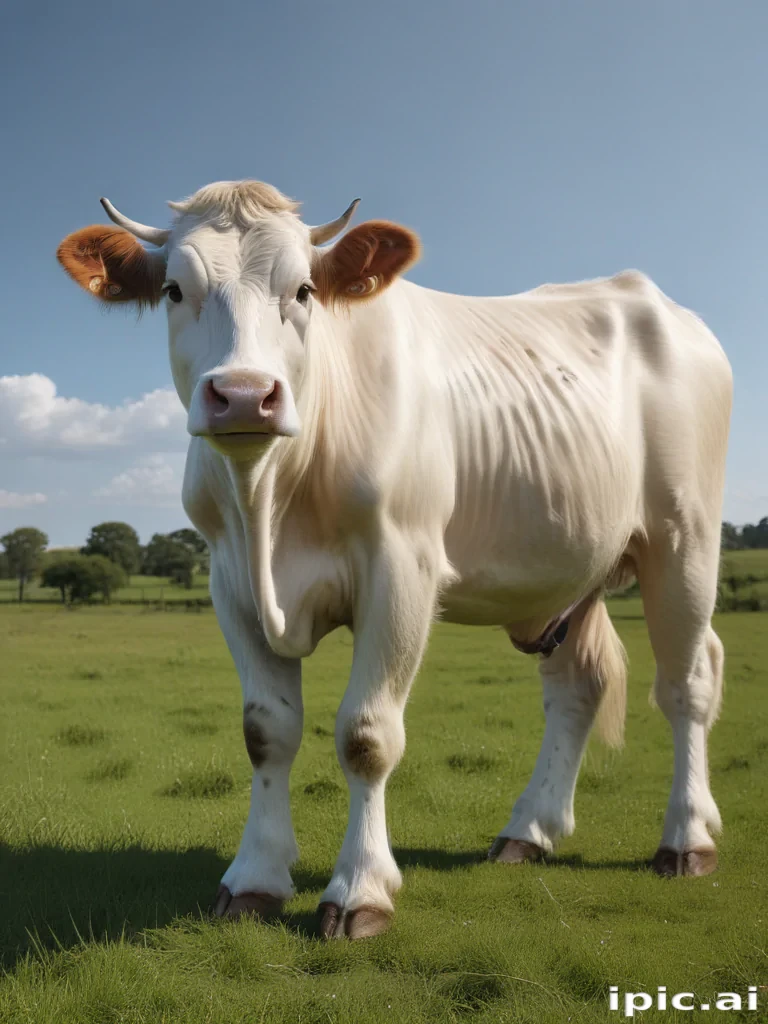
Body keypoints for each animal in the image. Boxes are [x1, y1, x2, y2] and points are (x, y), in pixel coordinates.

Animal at [57, 180, 732, 939]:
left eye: (304, 290)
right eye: (175, 289)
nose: (243, 395)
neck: (270, 503)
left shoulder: (401, 566)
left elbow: (367, 735)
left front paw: (359, 889)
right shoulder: (228, 579)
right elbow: (265, 731)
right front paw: (255, 876)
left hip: (684, 538)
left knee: (688, 682)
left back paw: (687, 837)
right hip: (568, 568)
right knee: (577, 686)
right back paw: (529, 830)